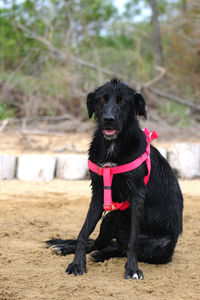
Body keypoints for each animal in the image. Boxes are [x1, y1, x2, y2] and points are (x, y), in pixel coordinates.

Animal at [47, 79, 184, 278]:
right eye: (102, 100)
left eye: (123, 101)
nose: (108, 119)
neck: (113, 145)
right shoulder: (97, 193)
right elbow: (83, 233)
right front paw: (77, 264)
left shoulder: (137, 194)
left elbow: (133, 241)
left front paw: (132, 269)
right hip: (110, 218)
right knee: (99, 242)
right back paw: (67, 248)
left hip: (159, 244)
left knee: (121, 248)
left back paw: (101, 255)